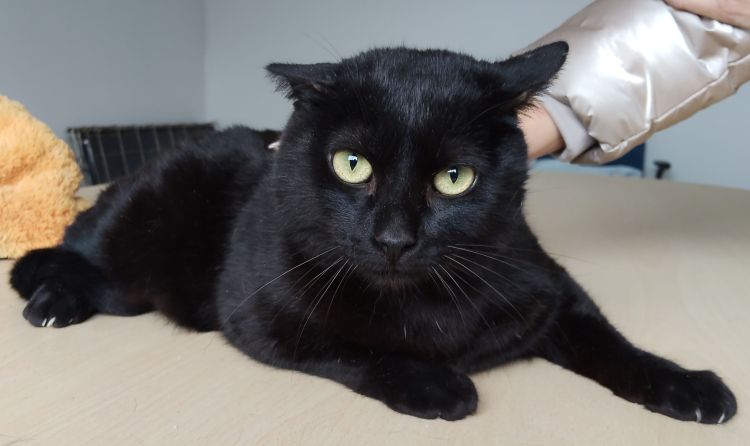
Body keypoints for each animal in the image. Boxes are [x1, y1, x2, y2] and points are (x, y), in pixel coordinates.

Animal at [10, 42, 736, 423]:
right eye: (351, 165)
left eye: (453, 178)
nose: (393, 238)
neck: (425, 301)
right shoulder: (260, 315)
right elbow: (352, 348)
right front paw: (437, 384)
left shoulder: (548, 290)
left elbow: (611, 342)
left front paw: (688, 385)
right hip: (140, 220)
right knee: (71, 249)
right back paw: (52, 300)